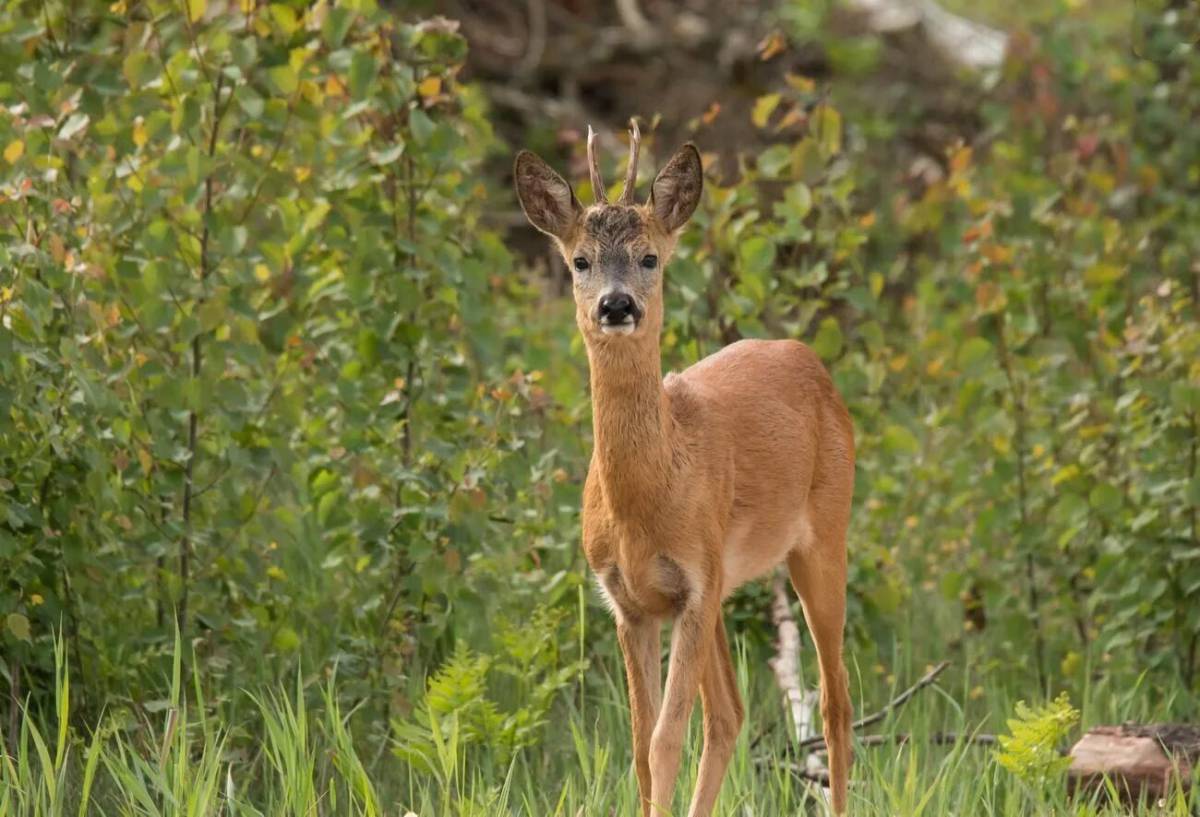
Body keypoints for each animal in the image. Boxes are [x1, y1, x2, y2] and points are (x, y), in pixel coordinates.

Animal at [511, 121, 859, 815]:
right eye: (579, 261)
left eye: (650, 258)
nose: (616, 305)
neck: (646, 501)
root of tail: (813, 364)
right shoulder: (630, 602)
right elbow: (641, 747)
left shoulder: (694, 586)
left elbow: (666, 740)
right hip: (725, 584)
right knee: (730, 713)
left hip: (822, 536)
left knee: (835, 702)